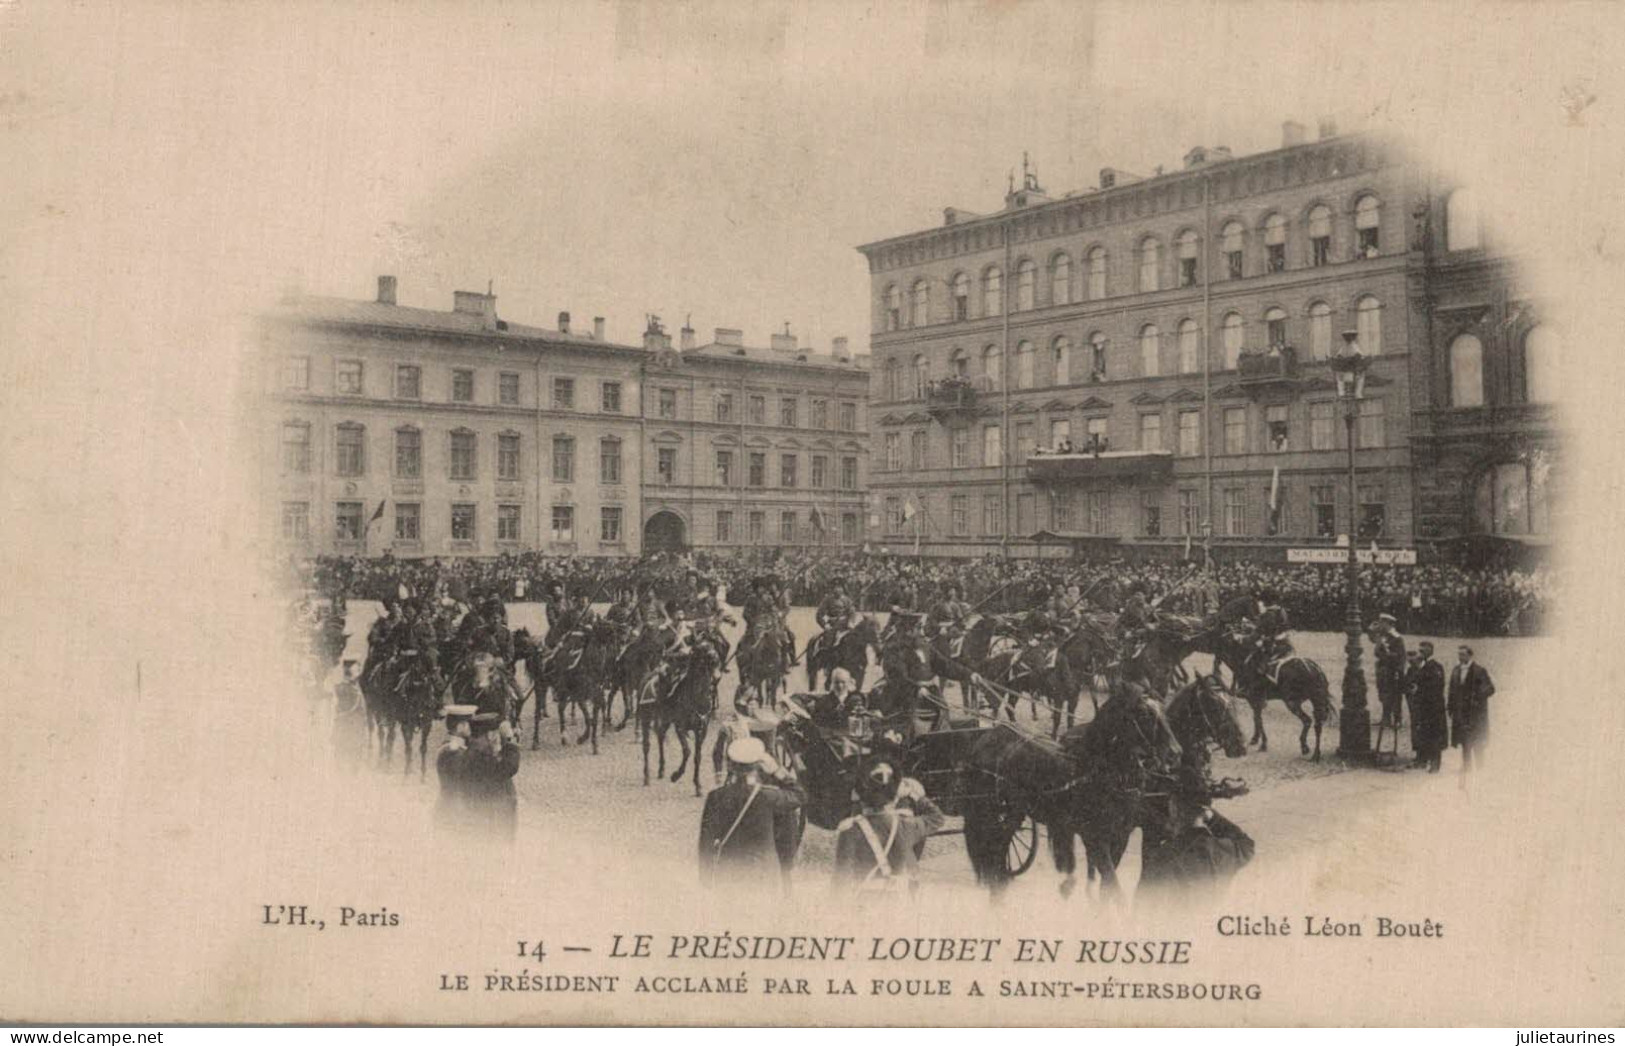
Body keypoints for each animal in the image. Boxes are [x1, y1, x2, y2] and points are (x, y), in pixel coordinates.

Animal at [637, 636, 721, 792]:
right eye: (702, 649)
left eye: (713, 647)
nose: (716, 660)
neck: (695, 697)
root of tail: (647, 676)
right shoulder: (680, 728)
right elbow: (687, 751)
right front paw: (676, 775)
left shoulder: (701, 730)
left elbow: (697, 756)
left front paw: (698, 785)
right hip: (646, 718)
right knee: (646, 746)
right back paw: (647, 777)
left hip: (665, 720)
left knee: (660, 736)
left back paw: (661, 770)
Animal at [1222, 630, 1332, 760]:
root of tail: (1313, 668)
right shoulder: (1255, 702)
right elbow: (1256, 719)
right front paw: (1255, 739)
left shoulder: (1255, 700)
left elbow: (1259, 720)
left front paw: (1262, 744)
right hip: (1316, 701)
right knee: (1317, 724)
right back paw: (1315, 754)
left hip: (1292, 703)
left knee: (1307, 721)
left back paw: (1305, 747)